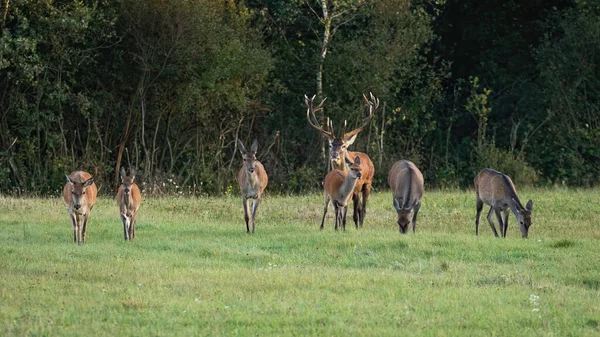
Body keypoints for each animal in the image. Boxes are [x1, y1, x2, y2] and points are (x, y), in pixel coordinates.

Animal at [308, 93, 378, 227]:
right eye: (330, 145)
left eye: (344, 146)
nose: (334, 155)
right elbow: (341, 213)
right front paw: (340, 226)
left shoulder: (355, 191)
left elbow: (355, 214)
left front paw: (356, 227)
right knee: (359, 209)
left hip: (368, 183)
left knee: (363, 209)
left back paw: (361, 225)